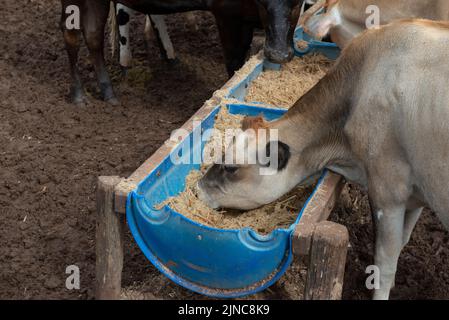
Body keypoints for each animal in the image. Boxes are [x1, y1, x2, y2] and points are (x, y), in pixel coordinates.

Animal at [198, 20, 448, 300]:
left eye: (231, 167)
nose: (198, 189)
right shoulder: (417, 193)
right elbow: (403, 242)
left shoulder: (388, 191)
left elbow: (384, 264)